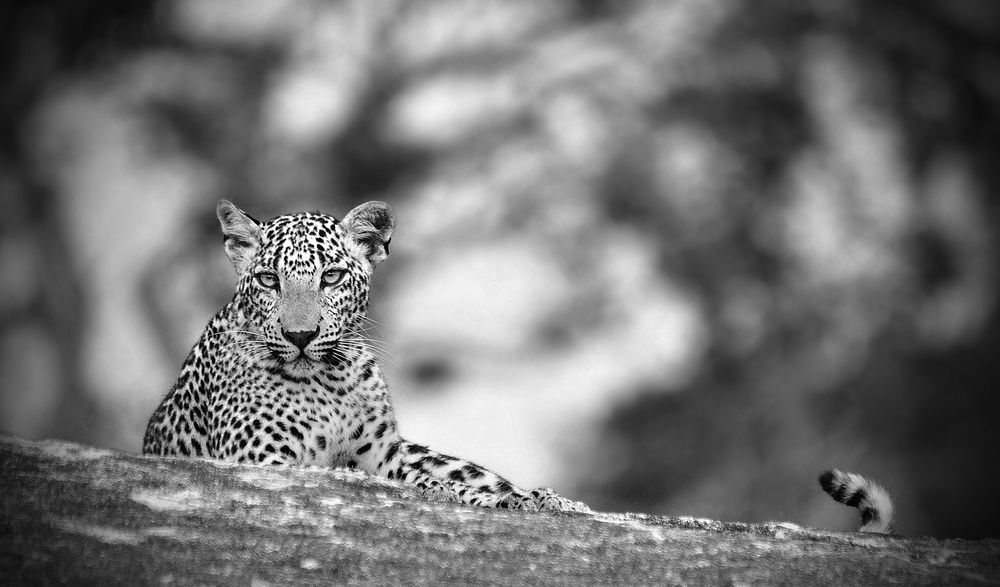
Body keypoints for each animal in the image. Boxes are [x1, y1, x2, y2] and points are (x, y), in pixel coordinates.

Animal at [143, 199, 589, 513]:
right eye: (269, 280)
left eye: (332, 276)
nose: (300, 335)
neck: (330, 381)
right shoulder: (262, 459)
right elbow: (414, 483)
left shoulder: (382, 453)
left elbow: (419, 477)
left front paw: (531, 498)